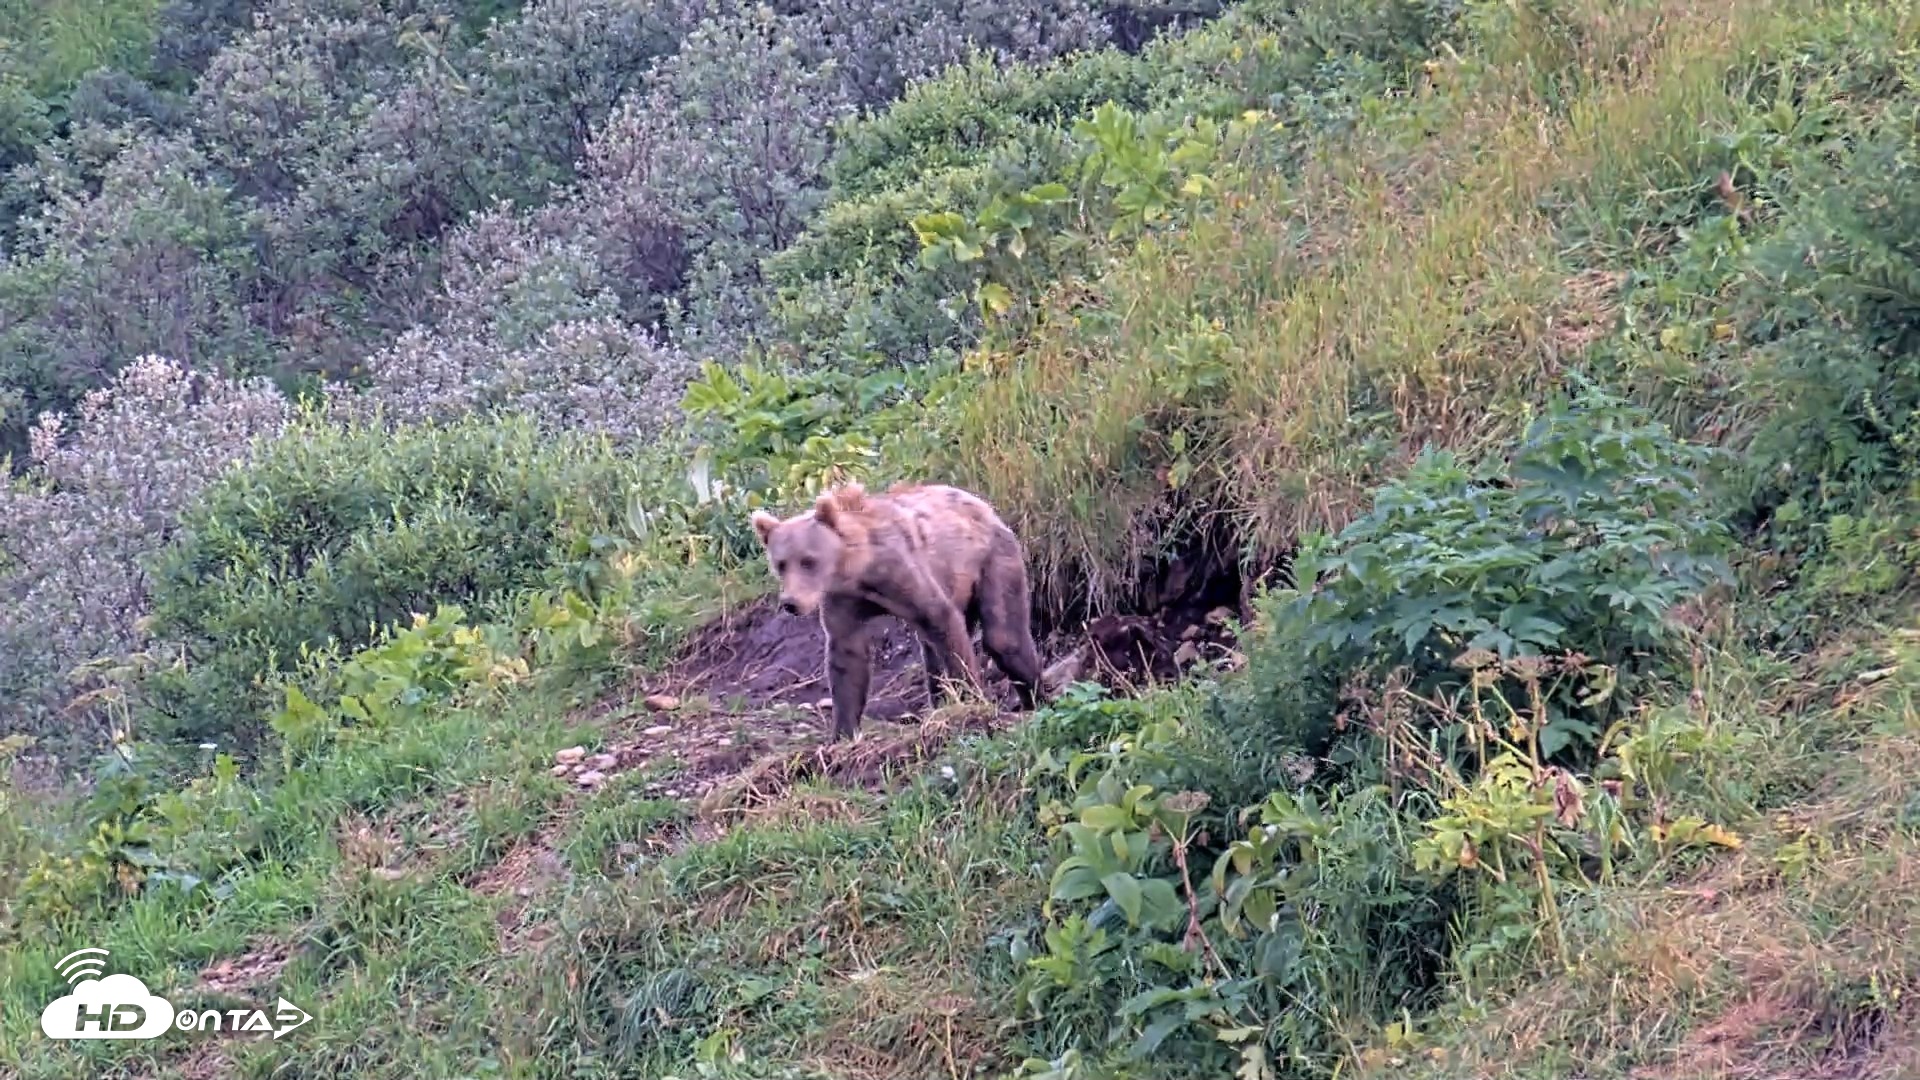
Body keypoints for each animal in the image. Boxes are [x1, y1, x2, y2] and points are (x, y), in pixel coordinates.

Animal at [750, 480, 1046, 742]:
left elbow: (942, 622)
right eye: (781, 564)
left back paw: (1035, 698)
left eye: (808, 560)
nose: (791, 602)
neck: (857, 568)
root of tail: (983, 505)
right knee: (932, 654)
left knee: (1003, 637)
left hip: (991, 560)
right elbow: (847, 658)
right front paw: (842, 733)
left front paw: (971, 699)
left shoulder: (902, 573)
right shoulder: (843, 600)